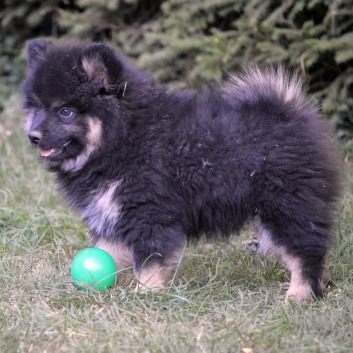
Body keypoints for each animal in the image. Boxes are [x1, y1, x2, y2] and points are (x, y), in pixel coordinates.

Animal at [22, 40, 340, 300]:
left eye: (65, 111)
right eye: (37, 108)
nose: (33, 136)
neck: (123, 136)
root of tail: (291, 114)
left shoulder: (148, 212)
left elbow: (149, 259)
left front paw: (145, 292)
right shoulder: (111, 210)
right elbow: (106, 252)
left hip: (286, 204)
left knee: (305, 250)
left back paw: (300, 294)